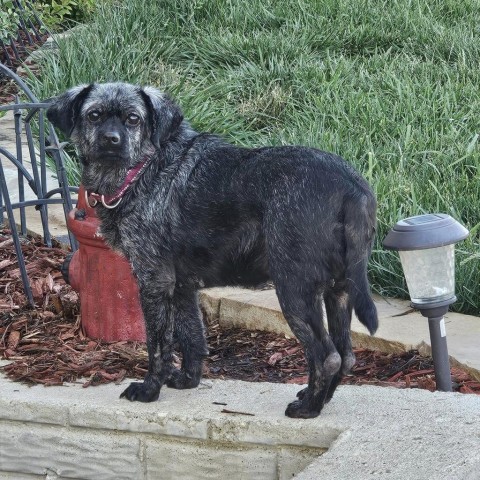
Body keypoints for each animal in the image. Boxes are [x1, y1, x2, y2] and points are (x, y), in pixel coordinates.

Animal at [47, 83, 376, 420]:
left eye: (133, 119)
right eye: (94, 115)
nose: (110, 140)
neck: (143, 168)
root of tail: (351, 188)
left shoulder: (154, 282)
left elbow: (158, 344)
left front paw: (150, 389)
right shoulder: (181, 287)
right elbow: (191, 335)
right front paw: (188, 380)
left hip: (295, 291)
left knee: (327, 356)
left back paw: (309, 408)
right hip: (339, 292)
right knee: (346, 356)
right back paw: (319, 398)